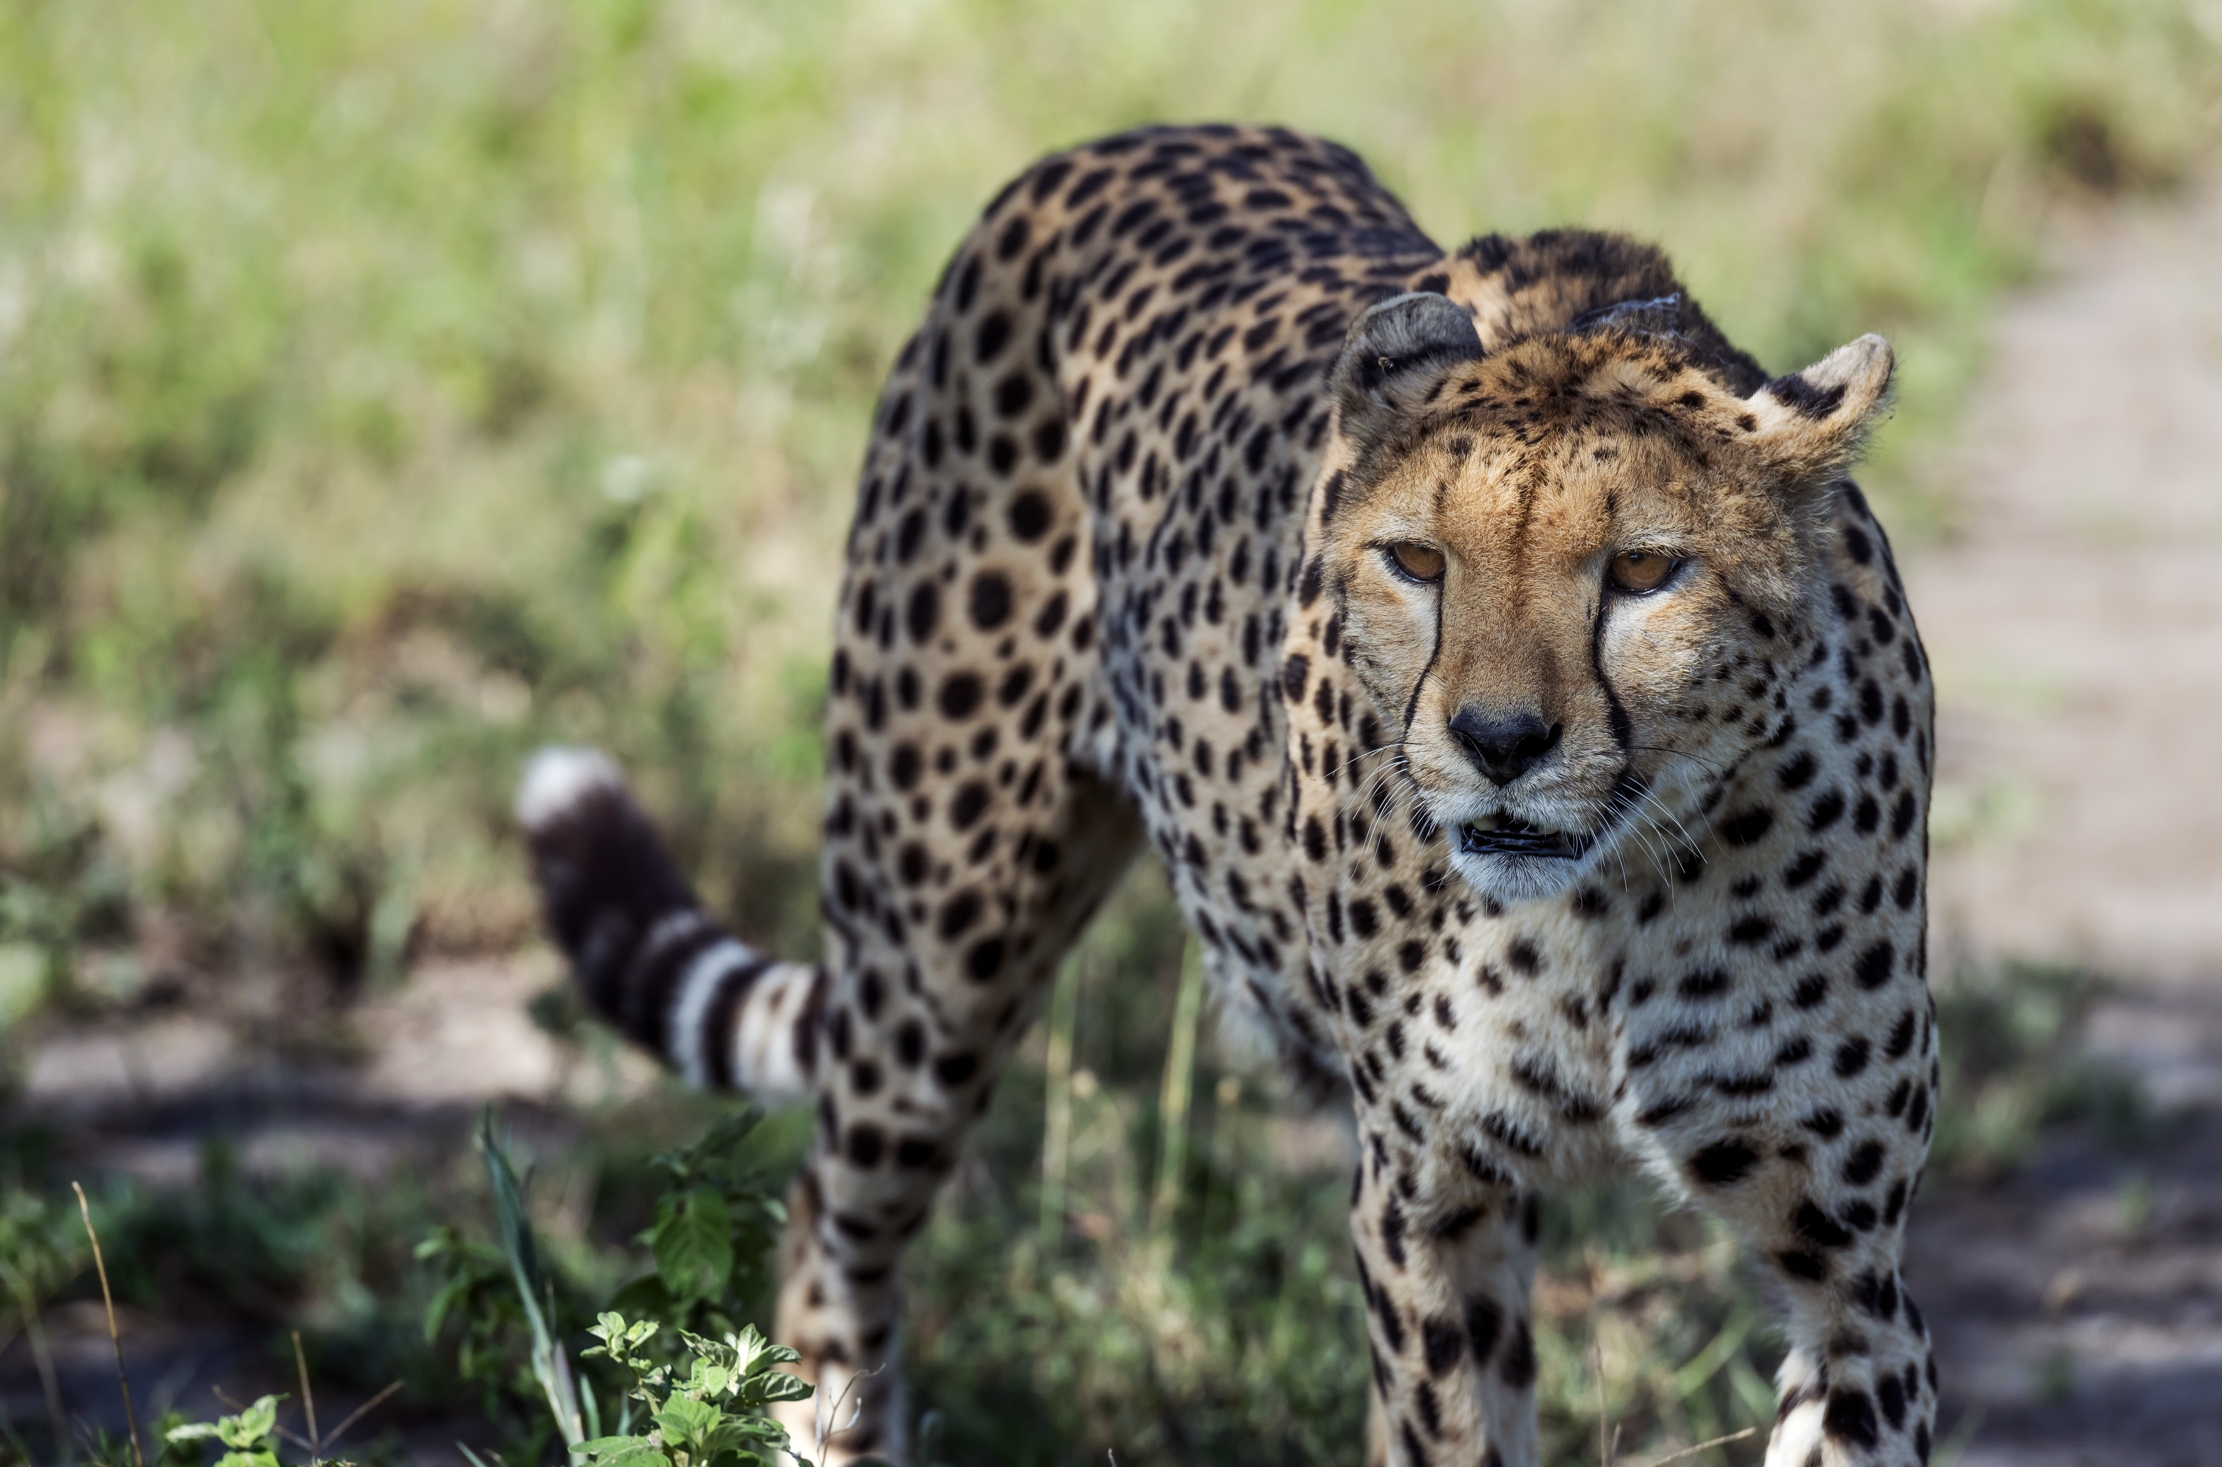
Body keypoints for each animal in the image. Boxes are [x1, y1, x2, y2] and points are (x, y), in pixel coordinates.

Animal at [518, 123, 1938, 1467]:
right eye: (1414, 560)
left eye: (1644, 569)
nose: (1497, 741)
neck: (1609, 903)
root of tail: (1119, 143)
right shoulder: (1424, 1199)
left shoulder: (1850, 1266)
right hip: (932, 964)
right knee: (829, 1218)